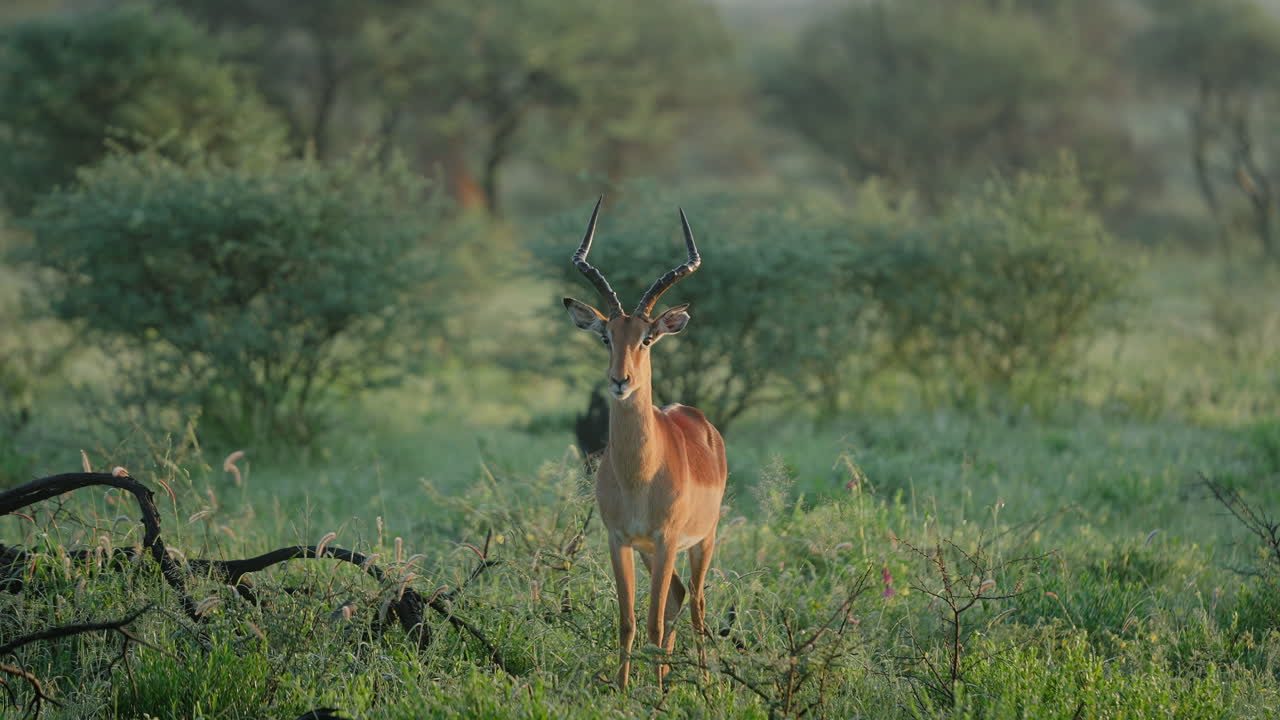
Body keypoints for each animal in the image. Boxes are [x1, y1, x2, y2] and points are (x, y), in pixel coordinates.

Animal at [562, 197, 728, 691]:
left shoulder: (667, 537)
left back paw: (702, 682)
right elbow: (628, 620)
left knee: (696, 603)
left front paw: (653, 695)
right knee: (677, 597)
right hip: (656, 554)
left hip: (702, 541)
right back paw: (672, 674)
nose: (620, 381)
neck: (640, 473)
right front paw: (622, 688)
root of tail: (699, 420)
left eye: (648, 338)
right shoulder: (619, 539)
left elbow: (652, 622)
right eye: (606, 336)